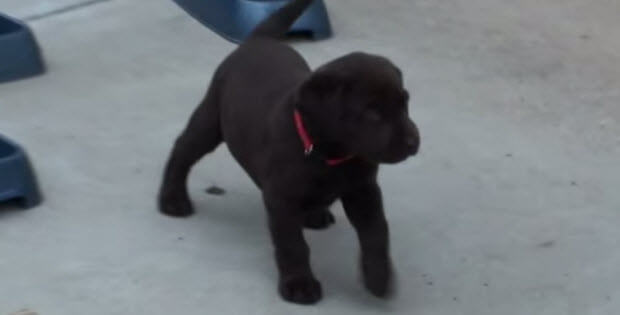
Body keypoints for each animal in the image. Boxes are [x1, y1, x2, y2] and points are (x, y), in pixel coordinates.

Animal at [160, 0, 422, 306]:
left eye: (404, 103)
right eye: (372, 113)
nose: (413, 141)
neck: (328, 154)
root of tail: (258, 40)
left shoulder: (364, 191)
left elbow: (376, 234)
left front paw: (378, 277)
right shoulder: (281, 198)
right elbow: (293, 245)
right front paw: (299, 285)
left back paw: (316, 214)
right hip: (210, 120)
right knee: (183, 150)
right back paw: (172, 198)